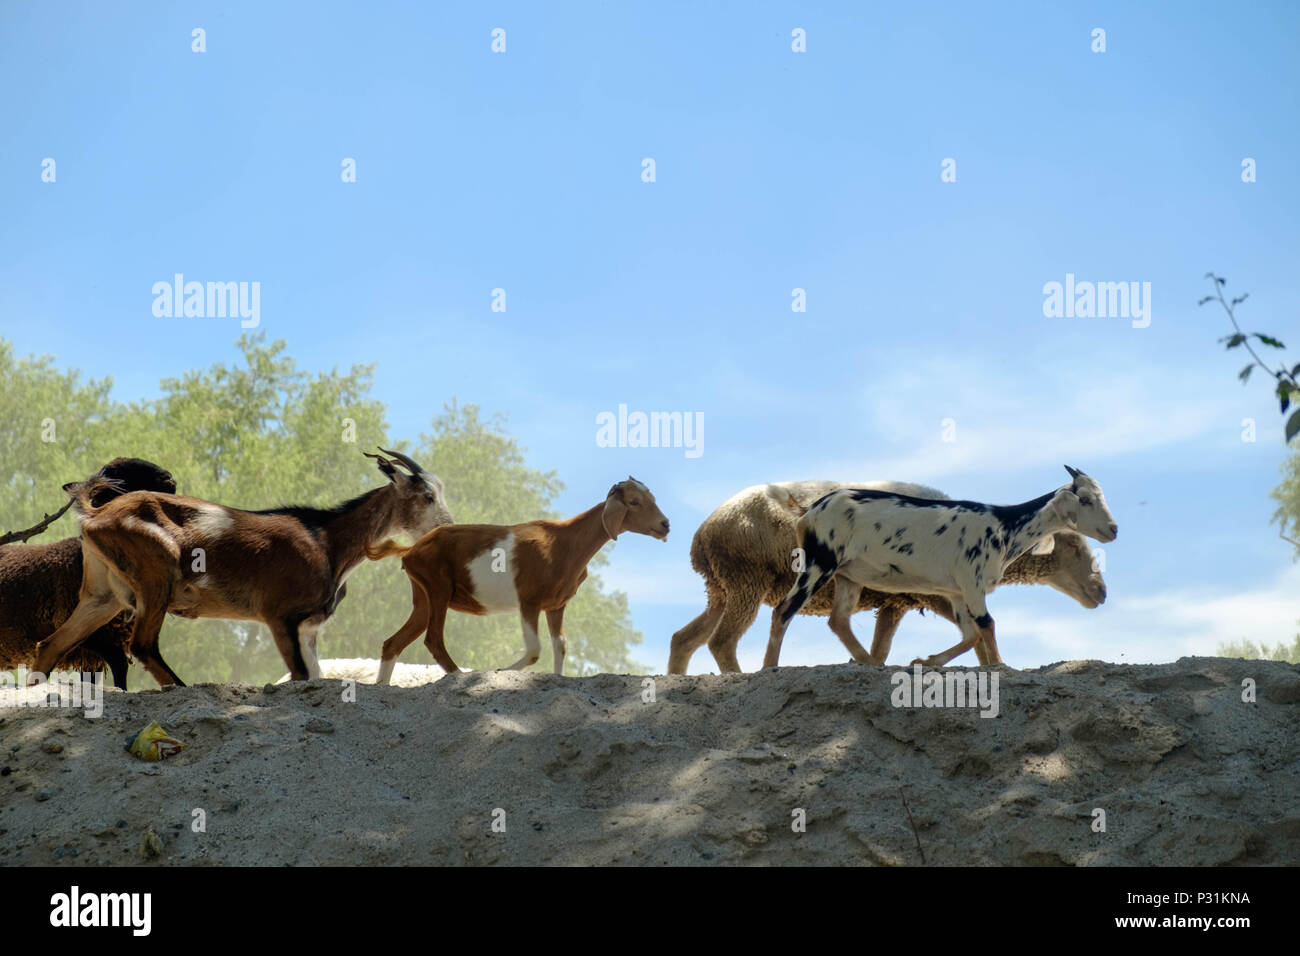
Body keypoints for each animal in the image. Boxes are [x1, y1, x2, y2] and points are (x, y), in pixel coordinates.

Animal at [769, 463, 1118, 665]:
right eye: (1085, 500)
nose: (1113, 529)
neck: (1004, 527)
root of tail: (808, 511)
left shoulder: (956, 592)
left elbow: (972, 634)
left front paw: (927, 662)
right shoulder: (972, 583)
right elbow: (988, 625)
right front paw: (1001, 665)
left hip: (848, 575)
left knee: (838, 621)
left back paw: (869, 663)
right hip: (819, 561)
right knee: (783, 611)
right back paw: (769, 667)